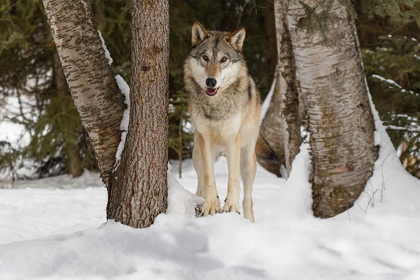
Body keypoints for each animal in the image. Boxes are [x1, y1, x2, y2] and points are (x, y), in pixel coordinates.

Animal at [184, 21, 278, 222]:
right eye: (205, 57)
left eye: (223, 59)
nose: (211, 82)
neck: (216, 105)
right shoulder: (205, 138)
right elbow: (209, 177)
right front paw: (211, 205)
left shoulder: (232, 139)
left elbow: (233, 179)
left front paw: (230, 206)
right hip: (197, 154)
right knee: (201, 180)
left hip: (248, 161)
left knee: (248, 198)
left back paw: (248, 220)